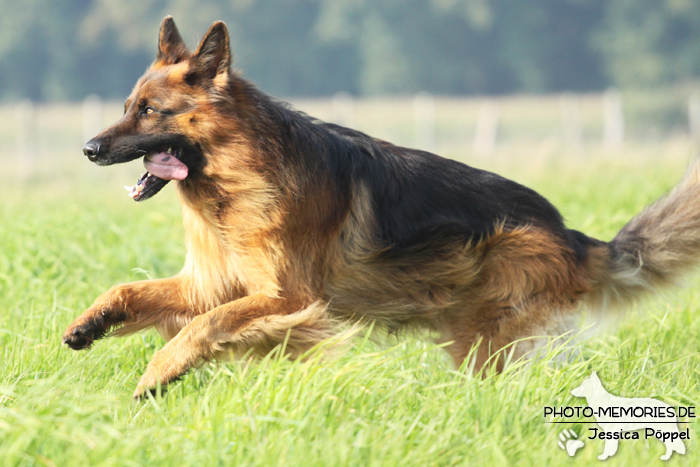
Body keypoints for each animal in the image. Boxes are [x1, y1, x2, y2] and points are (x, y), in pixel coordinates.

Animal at [64, 18, 700, 398]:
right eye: (127, 105)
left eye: (149, 111)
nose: (88, 149)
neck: (234, 177)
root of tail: (571, 235)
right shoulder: (212, 283)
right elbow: (132, 290)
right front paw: (91, 323)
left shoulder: (288, 299)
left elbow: (204, 327)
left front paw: (157, 374)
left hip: (485, 335)